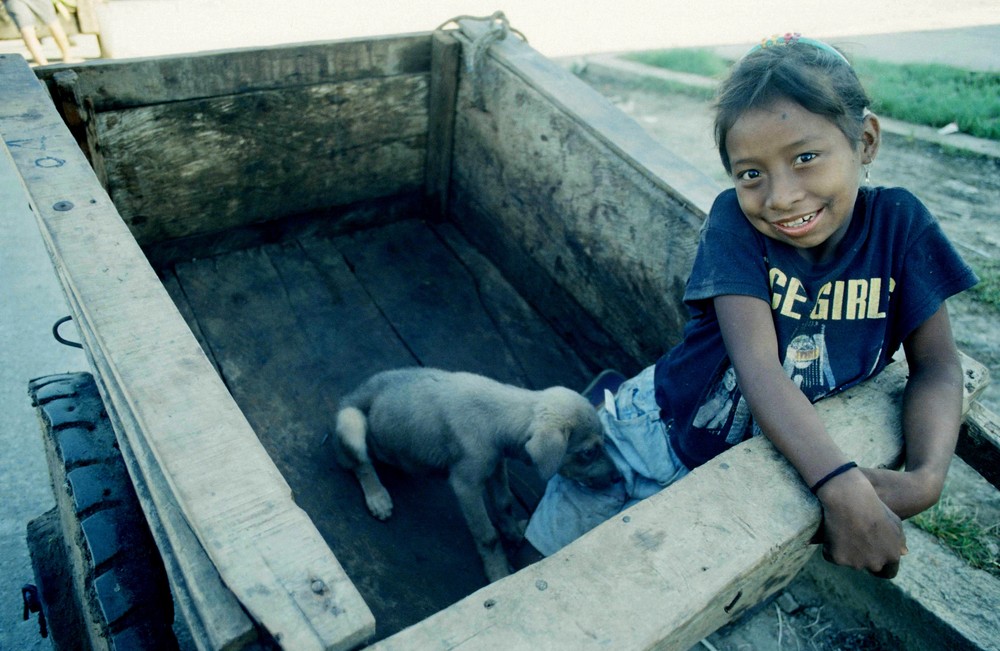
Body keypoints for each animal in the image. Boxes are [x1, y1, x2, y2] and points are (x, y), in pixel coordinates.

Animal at [332, 370, 620, 584]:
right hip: (351, 421)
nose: (619, 477)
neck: (500, 418)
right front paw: (498, 571)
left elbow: (504, 503)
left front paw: (514, 532)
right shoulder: (466, 484)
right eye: (588, 452)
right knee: (359, 462)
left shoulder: (496, 466)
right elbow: (487, 535)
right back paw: (377, 496)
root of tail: (351, 395)